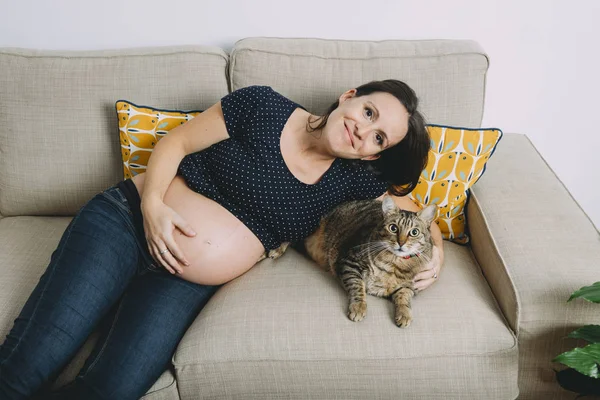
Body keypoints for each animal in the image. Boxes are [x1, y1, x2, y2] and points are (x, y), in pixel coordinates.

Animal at [304, 195, 436, 326]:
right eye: (393, 228)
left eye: (414, 232)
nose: (401, 243)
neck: (394, 263)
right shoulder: (349, 262)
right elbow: (357, 286)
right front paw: (358, 307)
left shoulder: (410, 286)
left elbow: (404, 297)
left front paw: (404, 314)